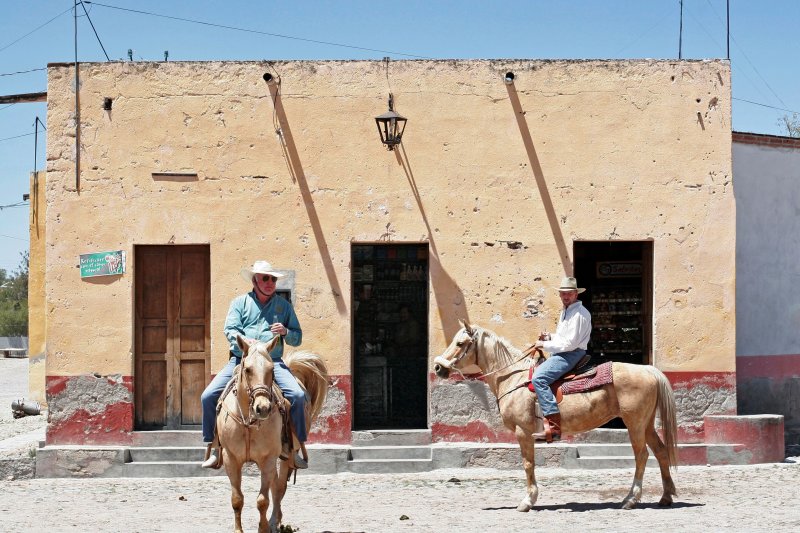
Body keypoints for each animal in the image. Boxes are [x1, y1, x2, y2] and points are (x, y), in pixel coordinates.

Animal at [214, 334, 330, 528]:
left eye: (271, 369)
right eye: (247, 370)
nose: (263, 408)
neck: (249, 423)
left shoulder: (268, 459)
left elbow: (263, 500)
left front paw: (264, 528)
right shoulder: (231, 459)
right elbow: (237, 499)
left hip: (286, 455)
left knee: (279, 487)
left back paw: (275, 521)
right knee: (276, 485)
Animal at [434, 320, 680, 512]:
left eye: (460, 343)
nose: (438, 368)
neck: (512, 378)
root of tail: (647, 369)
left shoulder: (523, 432)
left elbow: (528, 464)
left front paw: (527, 501)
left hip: (634, 423)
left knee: (642, 455)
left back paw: (630, 499)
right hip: (646, 424)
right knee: (660, 451)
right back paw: (666, 497)